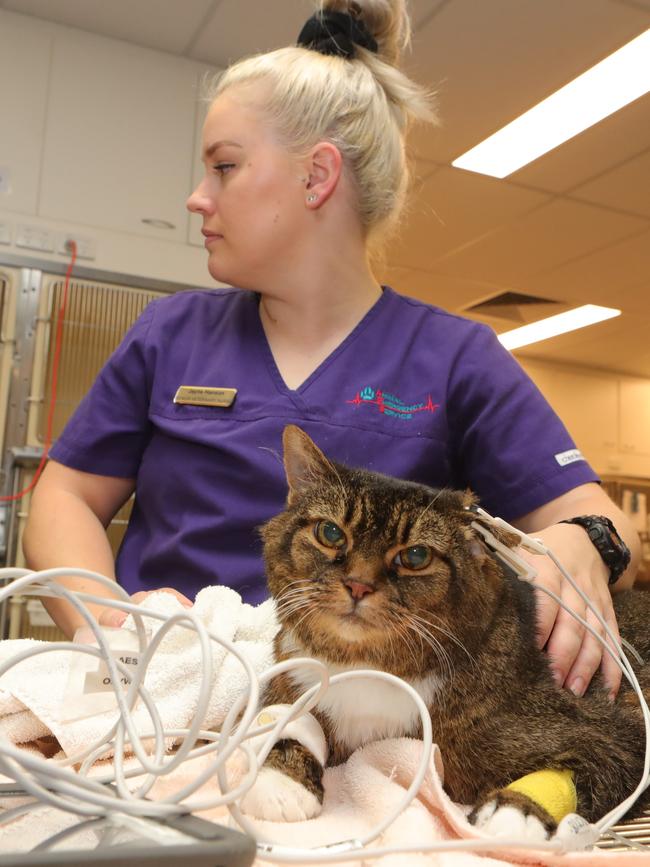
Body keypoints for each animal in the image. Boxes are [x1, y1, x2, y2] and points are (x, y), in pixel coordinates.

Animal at [239, 424, 648, 836]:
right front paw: (281, 781)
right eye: (330, 533)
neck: (364, 666)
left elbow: (583, 769)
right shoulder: (285, 683)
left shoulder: (617, 736)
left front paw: (517, 812)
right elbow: (281, 720)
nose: (358, 585)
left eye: (415, 556)